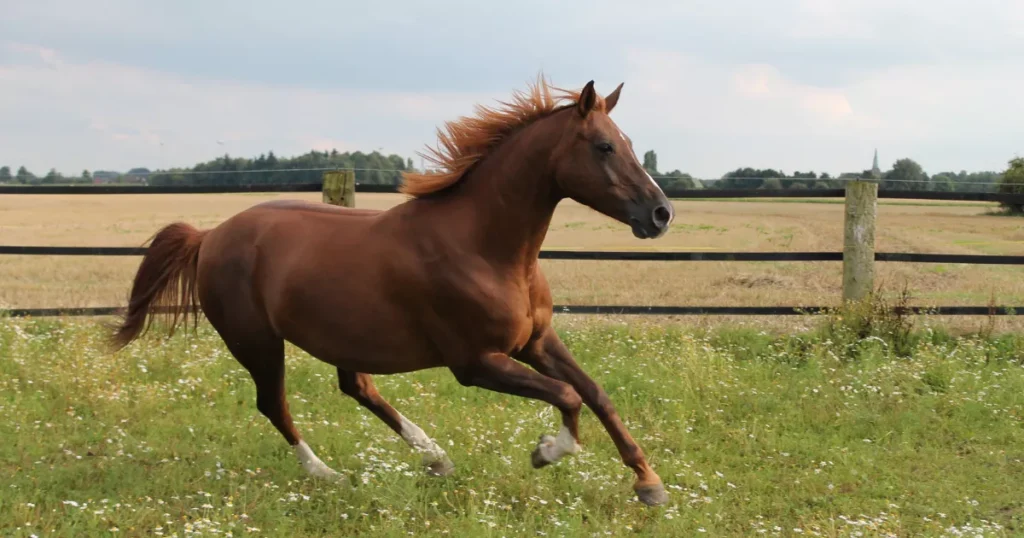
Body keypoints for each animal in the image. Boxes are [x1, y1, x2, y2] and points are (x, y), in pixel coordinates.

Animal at [110, 77, 679, 506]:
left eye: (631, 143)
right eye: (604, 146)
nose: (661, 214)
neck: (485, 248)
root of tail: (210, 236)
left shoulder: (536, 341)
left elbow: (595, 393)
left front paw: (649, 484)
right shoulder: (475, 362)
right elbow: (567, 396)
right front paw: (546, 451)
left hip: (341, 336)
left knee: (357, 388)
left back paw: (435, 457)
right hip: (256, 342)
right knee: (275, 404)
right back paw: (328, 474)